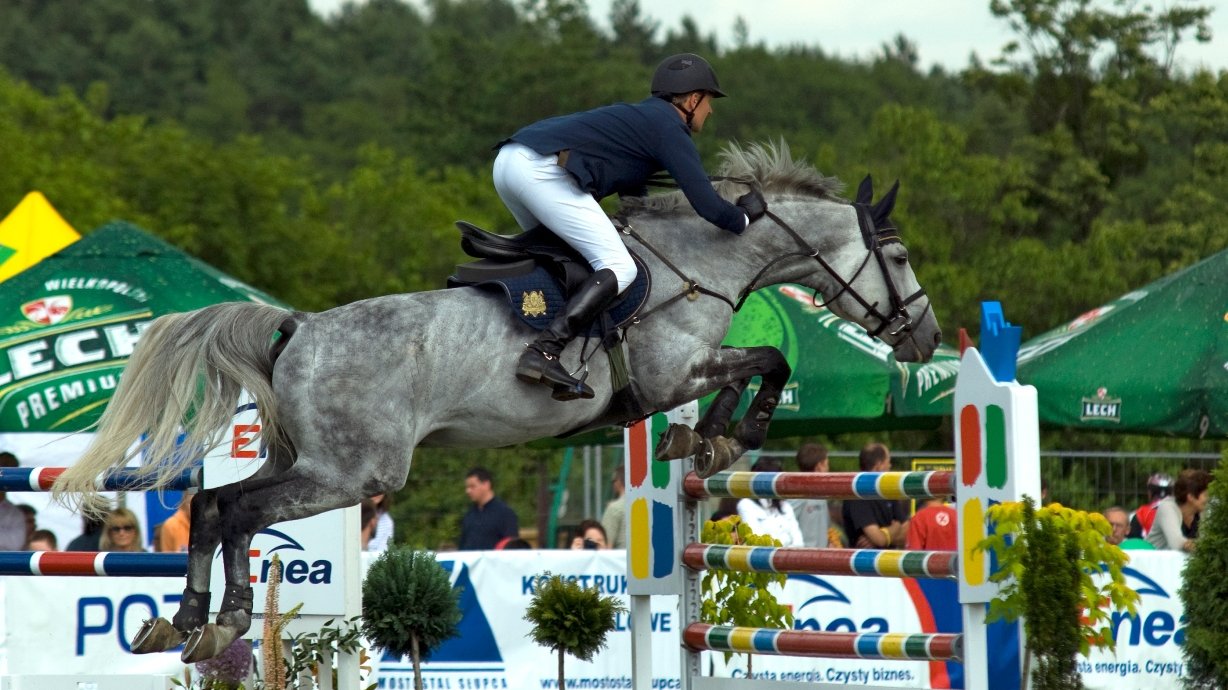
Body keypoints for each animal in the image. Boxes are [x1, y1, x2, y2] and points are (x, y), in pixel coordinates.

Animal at [55, 141, 938, 662]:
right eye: (897, 256)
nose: (927, 339)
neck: (698, 261)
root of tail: (298, 327)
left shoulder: (680, 379)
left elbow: (749, 371)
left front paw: (708, 441)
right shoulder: (672, 376)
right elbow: (770, 360)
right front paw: (731, 434)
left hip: (306, 460)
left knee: (217, 507)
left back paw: (193, 621)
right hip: (354, 473)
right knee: (233, 510)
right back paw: (223, 620)